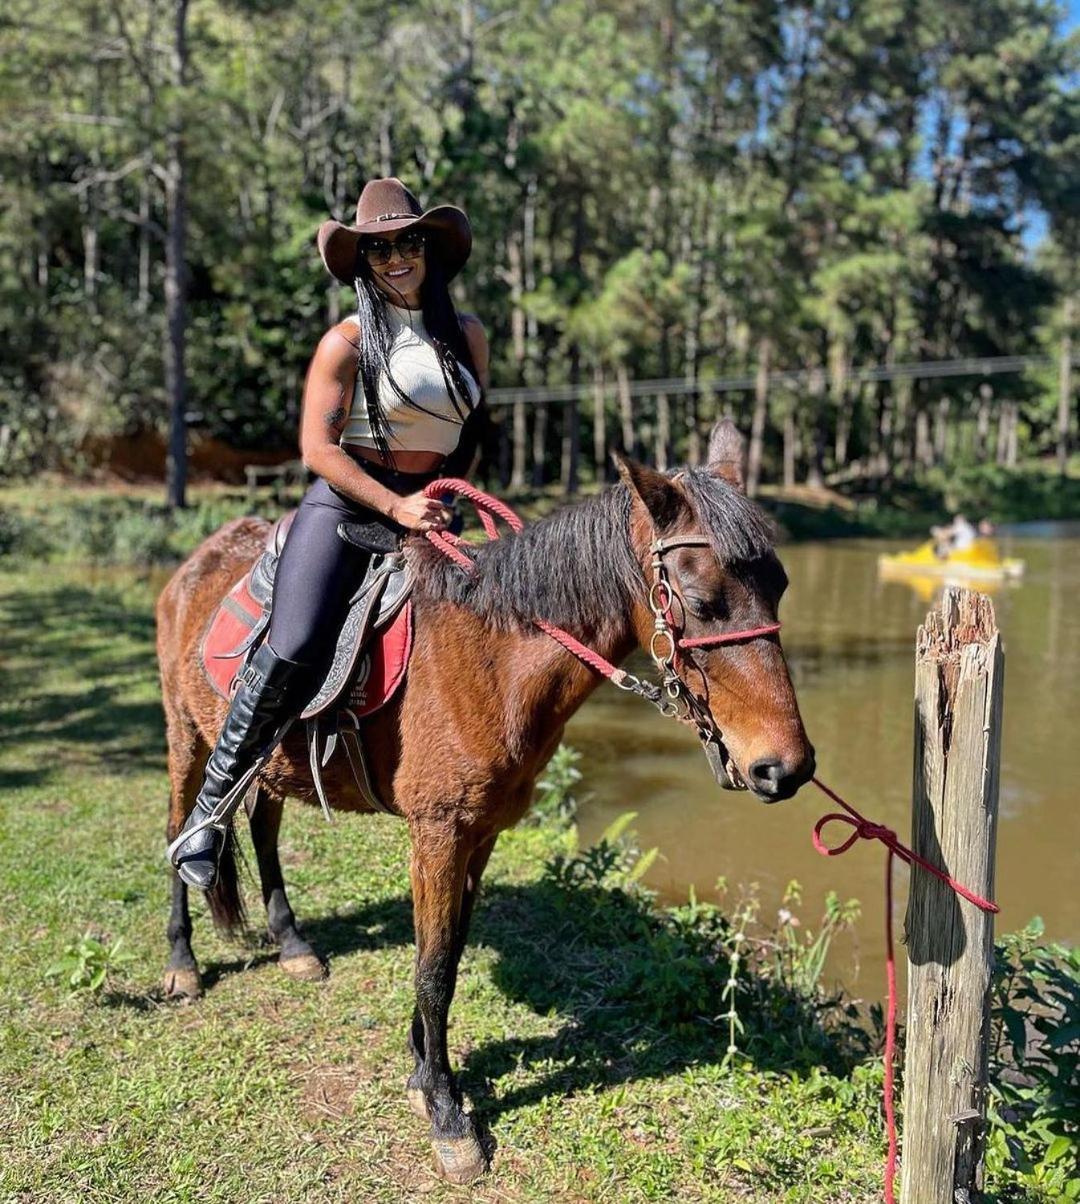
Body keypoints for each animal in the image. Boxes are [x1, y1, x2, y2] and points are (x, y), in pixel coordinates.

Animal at [156, 421, 813, 1175]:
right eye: (701, 602)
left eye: (780, 585)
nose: (786, 767)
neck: (494, 661)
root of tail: (200, 557)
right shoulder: (438, 832)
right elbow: (434, 968)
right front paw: (447, 1113)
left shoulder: (483, 831)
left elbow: (447, 951)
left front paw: (423, 1072)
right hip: (185, 736)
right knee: (180, 830)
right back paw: (182, 962)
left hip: (272, 765)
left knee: (263, 831)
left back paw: (292, 943)